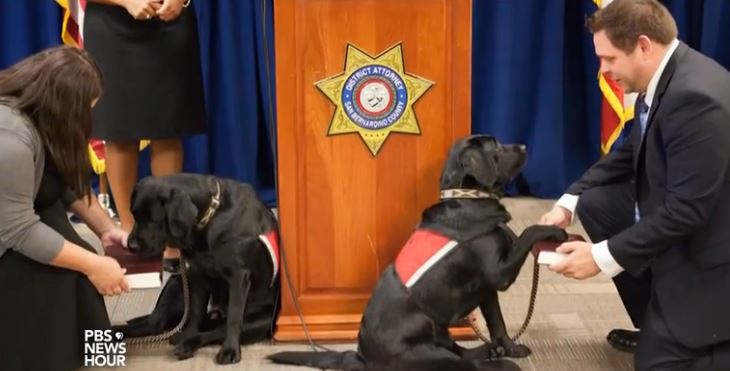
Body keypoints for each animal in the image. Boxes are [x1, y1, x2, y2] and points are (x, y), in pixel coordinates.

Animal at [119, 175, 278, 366]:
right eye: (134, 215)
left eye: (153, 219)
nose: (131, 246)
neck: (211, 217)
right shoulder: (196, 274)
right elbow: (195, 312)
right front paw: (188, 333)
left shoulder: (239, 276)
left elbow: (233, 318)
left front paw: (230, 349)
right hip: (176, 284)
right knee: (155, 322)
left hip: (262, 320)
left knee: (216, 331)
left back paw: (188, 345)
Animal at [268, 136, 568, 371]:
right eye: (496, 147)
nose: (524, 146)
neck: (468, 197)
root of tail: (362, 358)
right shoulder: (500, 274)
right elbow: (528, 231)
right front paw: (553, 230)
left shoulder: (487, 290)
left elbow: (498, 324)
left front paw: (509, 346)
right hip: (426, 337)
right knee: (465, 364)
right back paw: (499, 361)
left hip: (441, 330)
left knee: (463, 353)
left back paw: (493, 351)